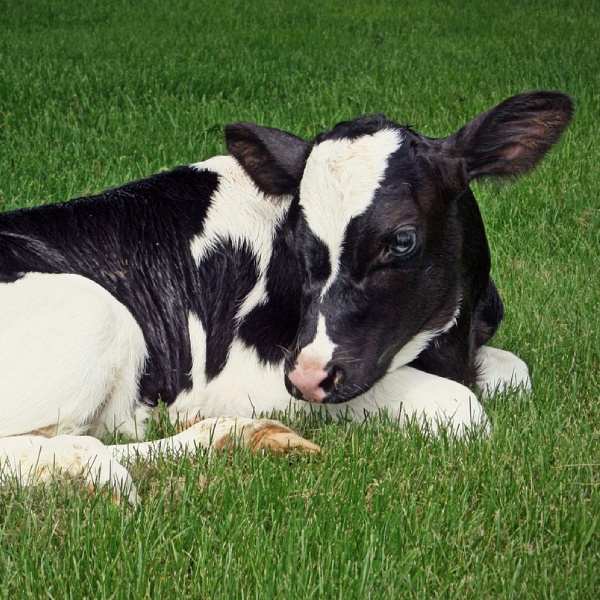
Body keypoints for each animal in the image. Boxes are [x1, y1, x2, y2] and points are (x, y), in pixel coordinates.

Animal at [0, 90, 572, 502]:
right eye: (295, 238)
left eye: (403, 240)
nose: (308, 377)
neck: (449, 341)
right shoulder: (249, 372)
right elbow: (464, 408)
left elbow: (515, 373)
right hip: (96, 311)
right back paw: (91, 471)